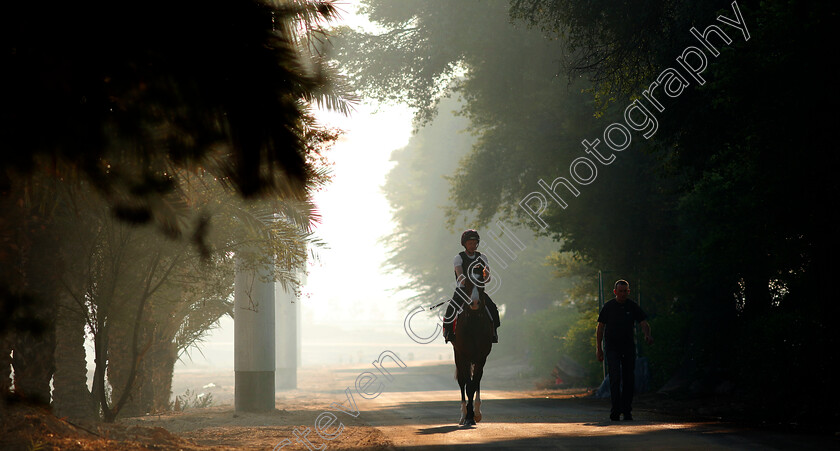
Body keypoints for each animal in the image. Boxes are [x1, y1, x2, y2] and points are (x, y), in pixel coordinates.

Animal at [452, 294, 492, 428]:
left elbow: (475, 382)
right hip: (459, 358)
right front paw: (469, 417)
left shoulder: (481, 357)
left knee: (475, 380)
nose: (474, 302)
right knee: (462, 381)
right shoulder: (462, 356)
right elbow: (468, 385)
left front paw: (476, 415)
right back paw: (463, 416)